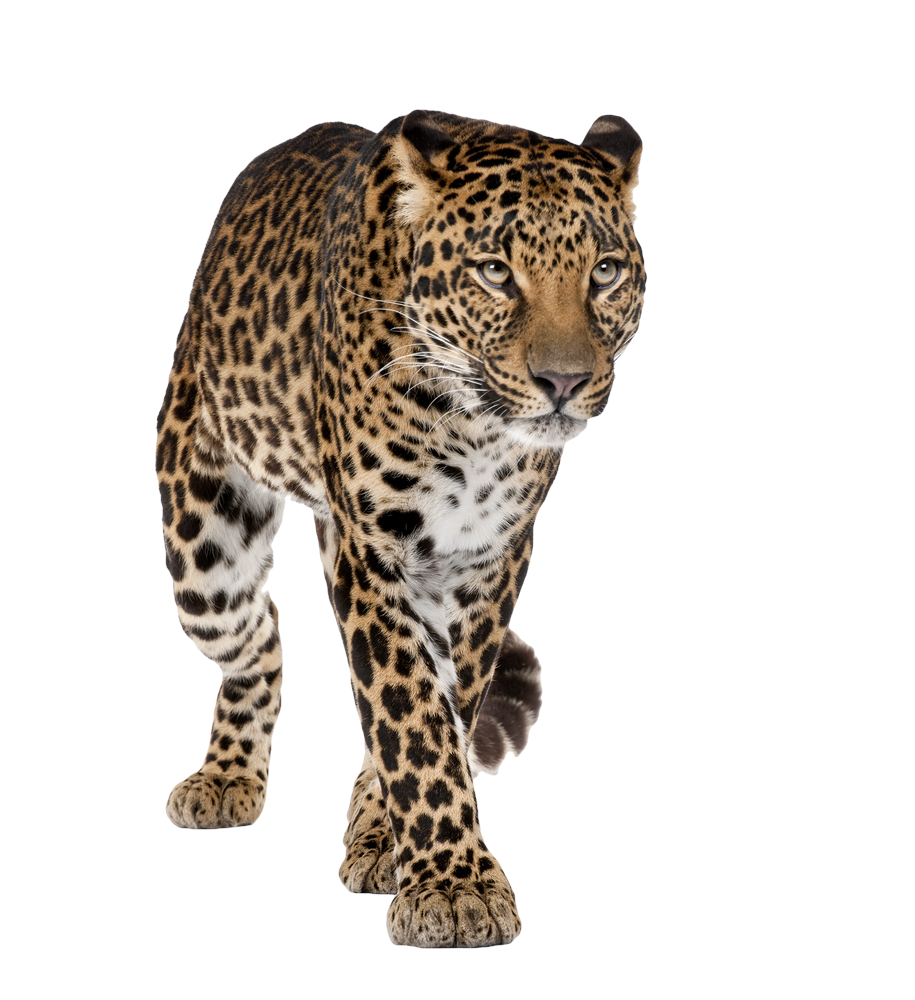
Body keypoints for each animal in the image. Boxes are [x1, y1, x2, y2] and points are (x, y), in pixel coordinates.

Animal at [156, 109, 646, 948]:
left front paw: (393, 842)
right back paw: (226, 777)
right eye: (493, 271)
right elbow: (409, 713)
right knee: (260, 636)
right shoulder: (375, 553)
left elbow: (446, 705)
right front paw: (453, 888)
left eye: (605, 270)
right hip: (203, 542)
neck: (474, 428)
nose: (564, 381)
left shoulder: (489, 558)